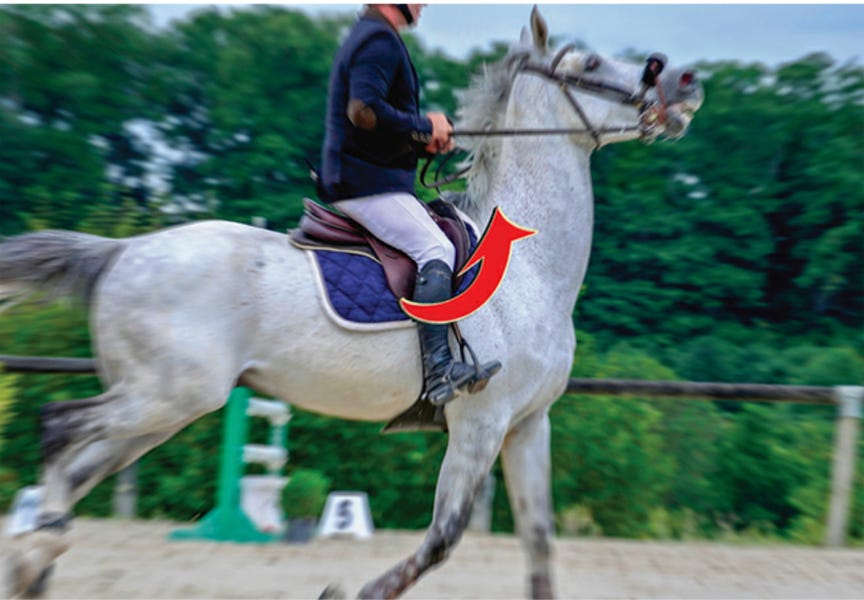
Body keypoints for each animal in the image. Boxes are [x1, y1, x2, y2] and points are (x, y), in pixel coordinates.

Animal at [1, 8, 703, 599]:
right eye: (591, 64)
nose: (686, 81)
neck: (529, 269)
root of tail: (121, 251)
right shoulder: (480, 420)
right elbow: (443, 537)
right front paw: (349, 592)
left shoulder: (529, 425)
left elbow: (539, 545)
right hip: (168, 395)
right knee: (60, 428)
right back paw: (36, 551)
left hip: (163, 409)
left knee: (77, 463)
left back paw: (39, 559)